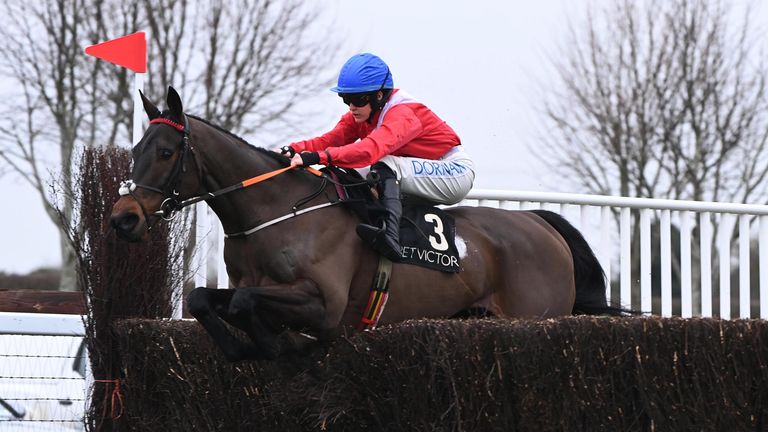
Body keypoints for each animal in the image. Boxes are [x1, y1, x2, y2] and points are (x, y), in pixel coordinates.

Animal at [109, 87, 624, 362]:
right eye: (136, 150)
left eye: (165, 152)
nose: (122, 219)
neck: (274, 213)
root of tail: (543, 225)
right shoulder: (250, 285)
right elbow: (205, 297)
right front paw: (243, 348)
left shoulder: (325, 304)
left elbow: (244, 302)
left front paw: (274, 344)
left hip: (536, 316)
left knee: (388, 164)